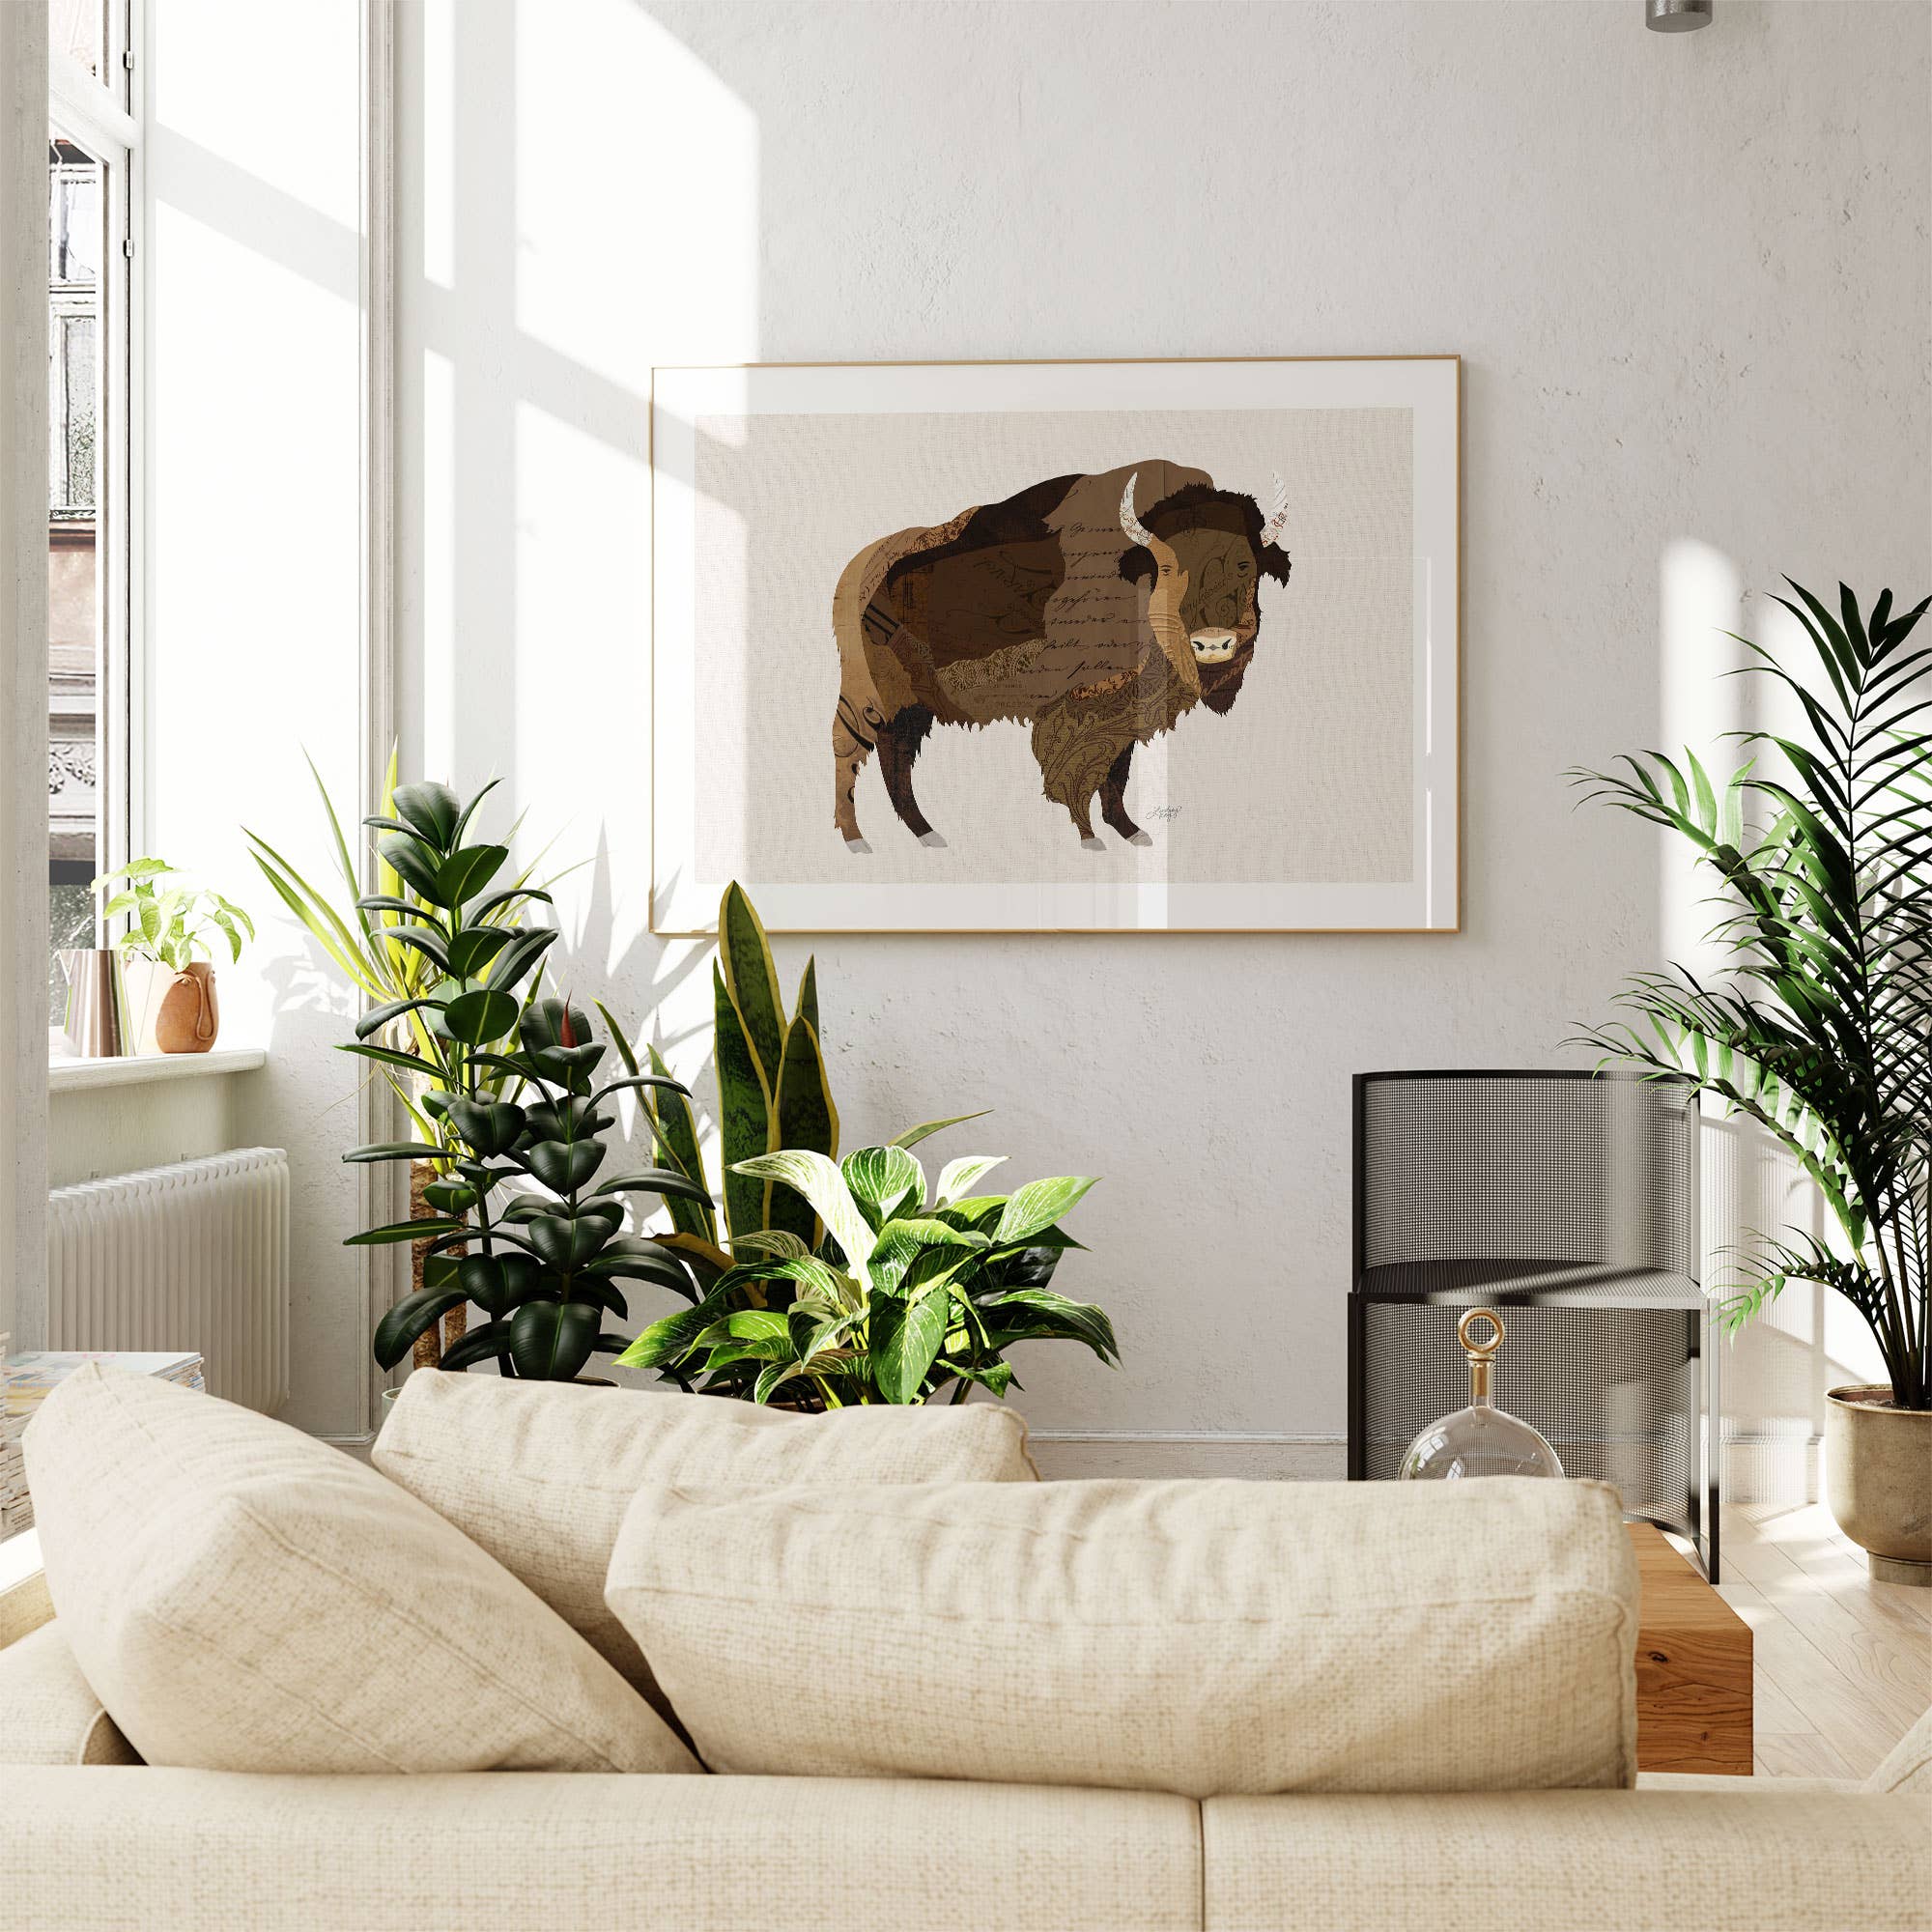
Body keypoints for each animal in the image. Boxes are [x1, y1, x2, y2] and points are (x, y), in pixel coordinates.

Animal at [830, 460, 1291, 849]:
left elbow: (1115, 771)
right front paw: (1091, 838)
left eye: (1246, 564)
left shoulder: (1125, 710)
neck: (1134, 573)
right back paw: (857, 839)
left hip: (912, 703)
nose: (1213, 642)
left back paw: (926, 834)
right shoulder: (1080, 704)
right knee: (850, 746)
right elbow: (1079, 770)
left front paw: (1131, 831)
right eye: (1169, 568)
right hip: (868, 692)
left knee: (895, 753)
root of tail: (855, 571)